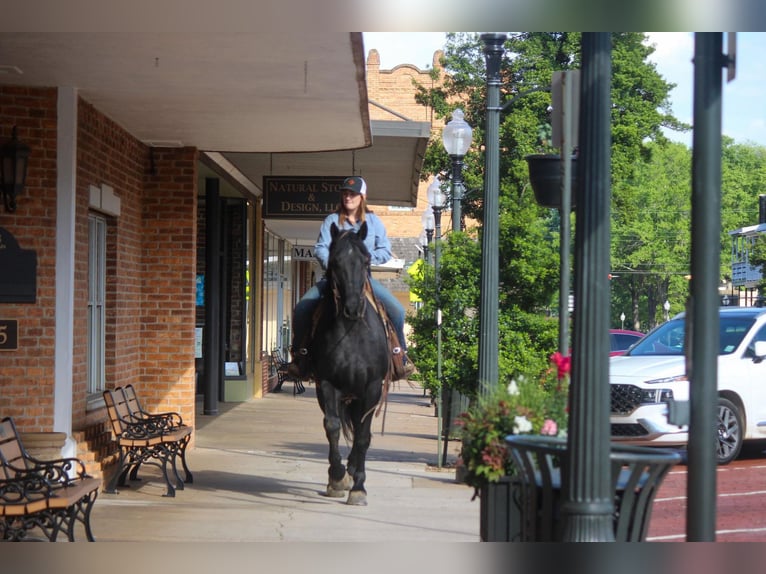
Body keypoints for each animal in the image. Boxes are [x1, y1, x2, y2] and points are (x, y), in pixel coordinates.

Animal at [308, 223, 390, 506]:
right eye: (335, 262)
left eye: (366, 260)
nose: (353, 308)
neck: (352, 332)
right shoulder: (327, 384)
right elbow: (332, 427)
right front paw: (337, 477)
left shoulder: (373, 387)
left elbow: (363, 436)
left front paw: (359, 487)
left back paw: (355, 469)